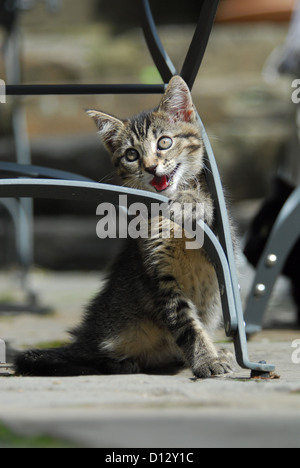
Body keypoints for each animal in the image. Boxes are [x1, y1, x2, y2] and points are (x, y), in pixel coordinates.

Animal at [15, 76, 233, 376]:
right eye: (131, 155)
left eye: (164, 142)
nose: (151, 167)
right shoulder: (157, 272)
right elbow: (185, 323)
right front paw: (205, 360)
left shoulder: (224, 245)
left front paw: (192, 200)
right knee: (86, 357)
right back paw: (120, 362)